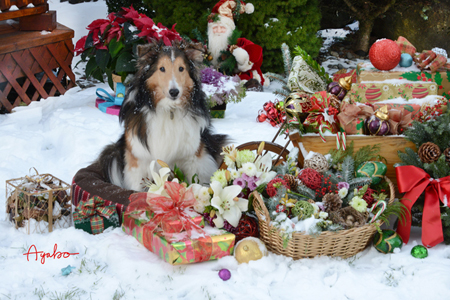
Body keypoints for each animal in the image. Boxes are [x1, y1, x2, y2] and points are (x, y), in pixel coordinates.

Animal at [96, 39, 227, 191]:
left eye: (181, 68)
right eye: (162, 68)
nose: (174, 92)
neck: (169, 109)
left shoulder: (193, 158)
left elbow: (195, 183)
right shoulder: (138, 160)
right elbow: (136, 188)